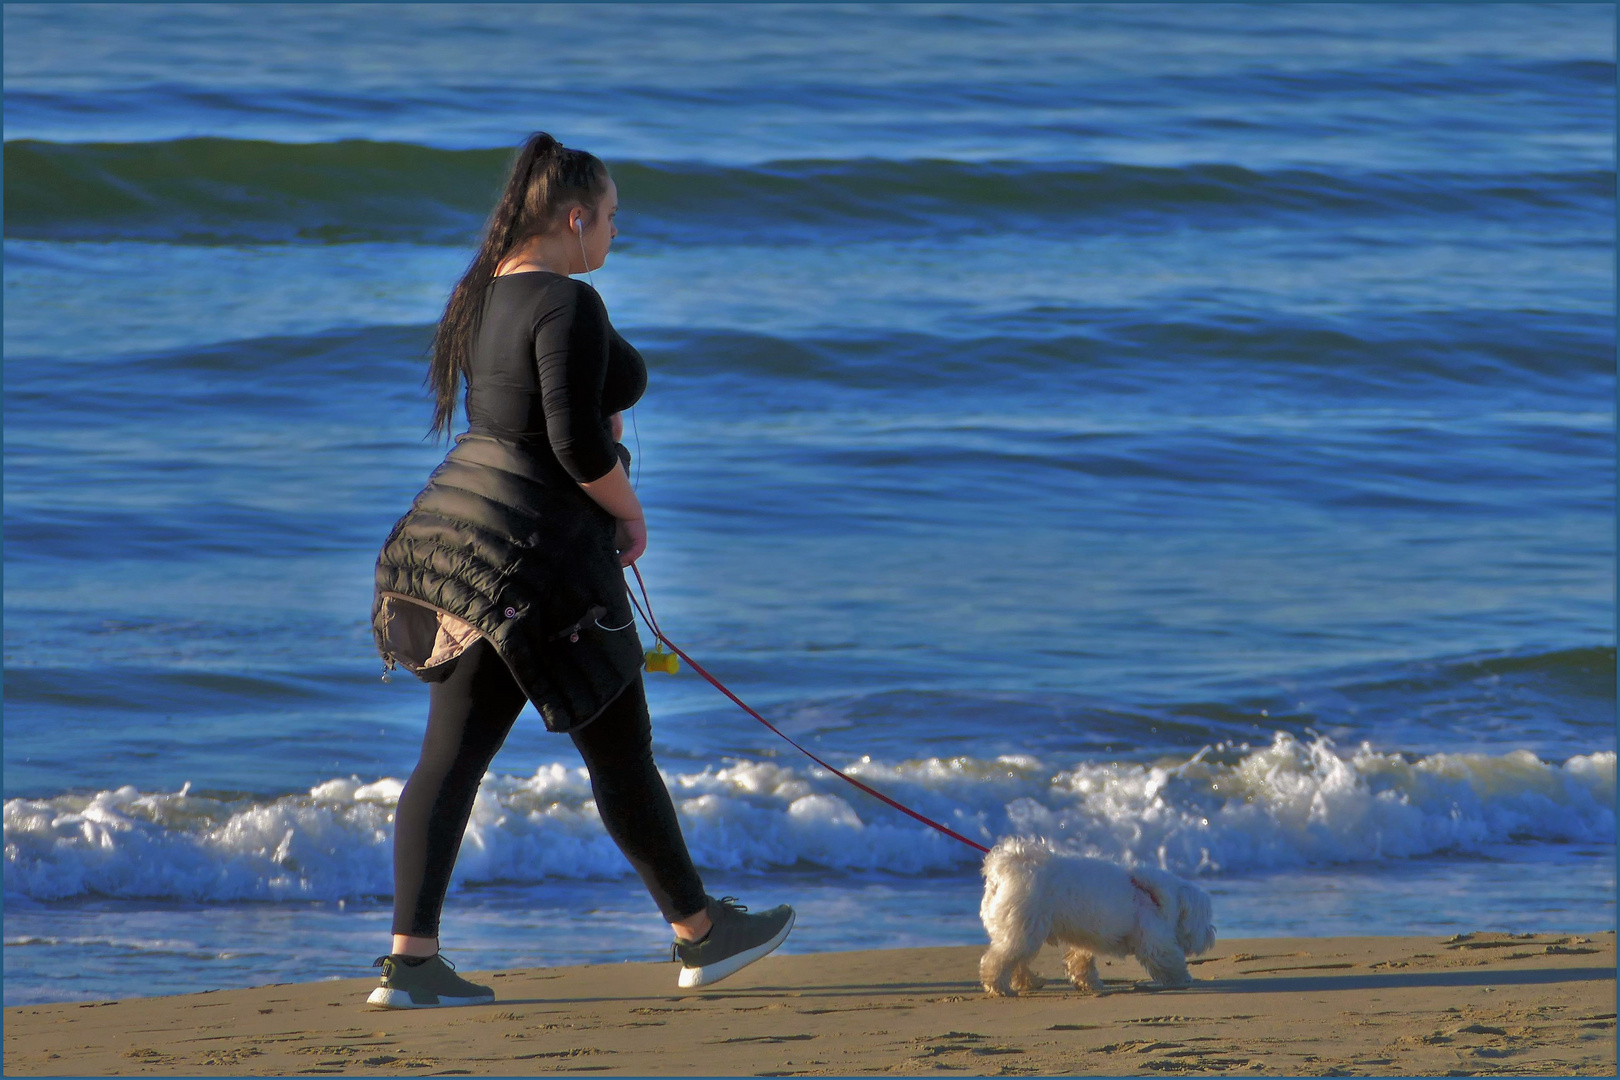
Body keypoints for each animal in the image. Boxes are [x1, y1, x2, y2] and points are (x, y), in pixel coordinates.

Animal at [972, 835, 1218, 997]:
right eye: (1206, 920)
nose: (1212, 935)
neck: (1156, 898)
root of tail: (1005, 870)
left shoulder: (1084, 940)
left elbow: (1081, 960)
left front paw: (1088, 982)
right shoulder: (1154, 939)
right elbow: (1168, 960)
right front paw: (1182, 978)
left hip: (1023, 928)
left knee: (1016, 959)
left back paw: (1029, 982)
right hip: (1023, 927)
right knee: (999, 959)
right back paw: (998, 986)